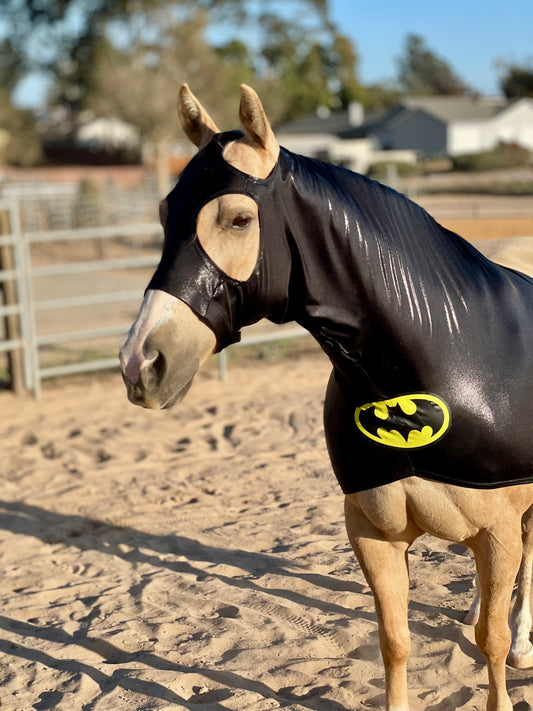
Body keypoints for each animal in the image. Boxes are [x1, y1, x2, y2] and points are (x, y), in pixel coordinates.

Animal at [119, 84, 533, 711]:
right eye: (167, 215)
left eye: (239, 219)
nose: (140, 362)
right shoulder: (372, 532)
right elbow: (395, 640)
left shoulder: (498, 531)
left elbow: (492, 639)